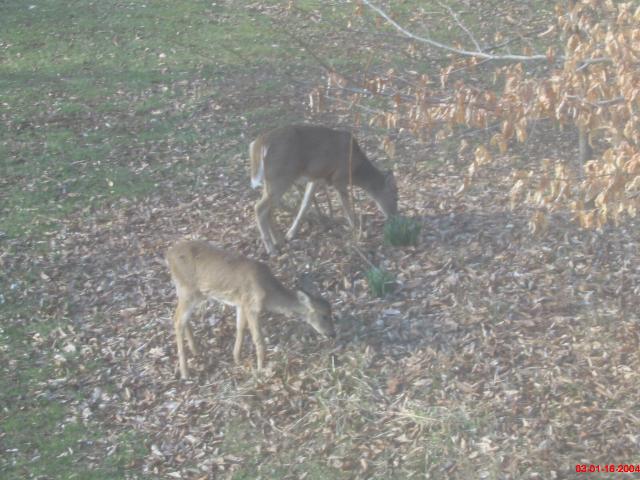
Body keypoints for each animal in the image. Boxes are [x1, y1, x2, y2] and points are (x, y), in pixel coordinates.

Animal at [166, 240, 335, 379]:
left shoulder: (242, 303)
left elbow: (240, 328)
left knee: (183, 318)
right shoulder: (252, 306)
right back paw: (185, 373)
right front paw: (261, 369)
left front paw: (237, 358)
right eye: (324, 316)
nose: (331, 334)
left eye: (330, 312)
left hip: (193, 293)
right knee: (177, 320)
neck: (269, 294)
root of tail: (169, 255)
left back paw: (196, 351)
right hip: (188, 290)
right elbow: (258, 339)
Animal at [250, 125, 398, 255]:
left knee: (269, 210)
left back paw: (278, 240)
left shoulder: (316, 178)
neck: (356, 169)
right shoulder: (339, 178)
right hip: (281, 176)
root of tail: (259, 143)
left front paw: (291, 233)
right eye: (395, 196)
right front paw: (357, 231)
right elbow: (346, 207)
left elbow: (305, 204)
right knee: (259, 207)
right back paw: (271, 249)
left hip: (271, 180)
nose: (394, 216)